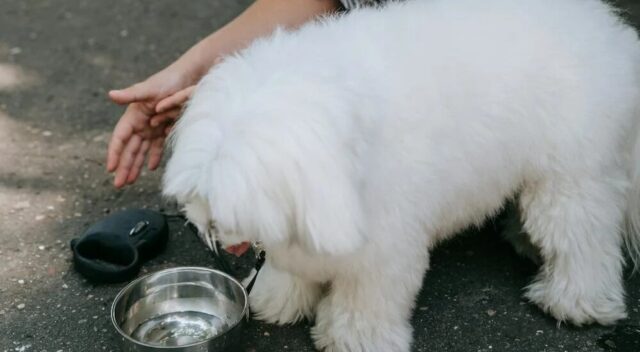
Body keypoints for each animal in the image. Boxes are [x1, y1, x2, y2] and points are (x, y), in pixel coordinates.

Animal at [164, 1, 640, 350]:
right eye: (200, 192)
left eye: (234, 200)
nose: (212, 230)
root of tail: (609, 32)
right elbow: (294, 273)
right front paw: (277, 300)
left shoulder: (383, 246)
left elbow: (366, 301)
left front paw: (353, 339)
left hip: (571, 178)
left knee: (582, 240)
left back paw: (576, 302)